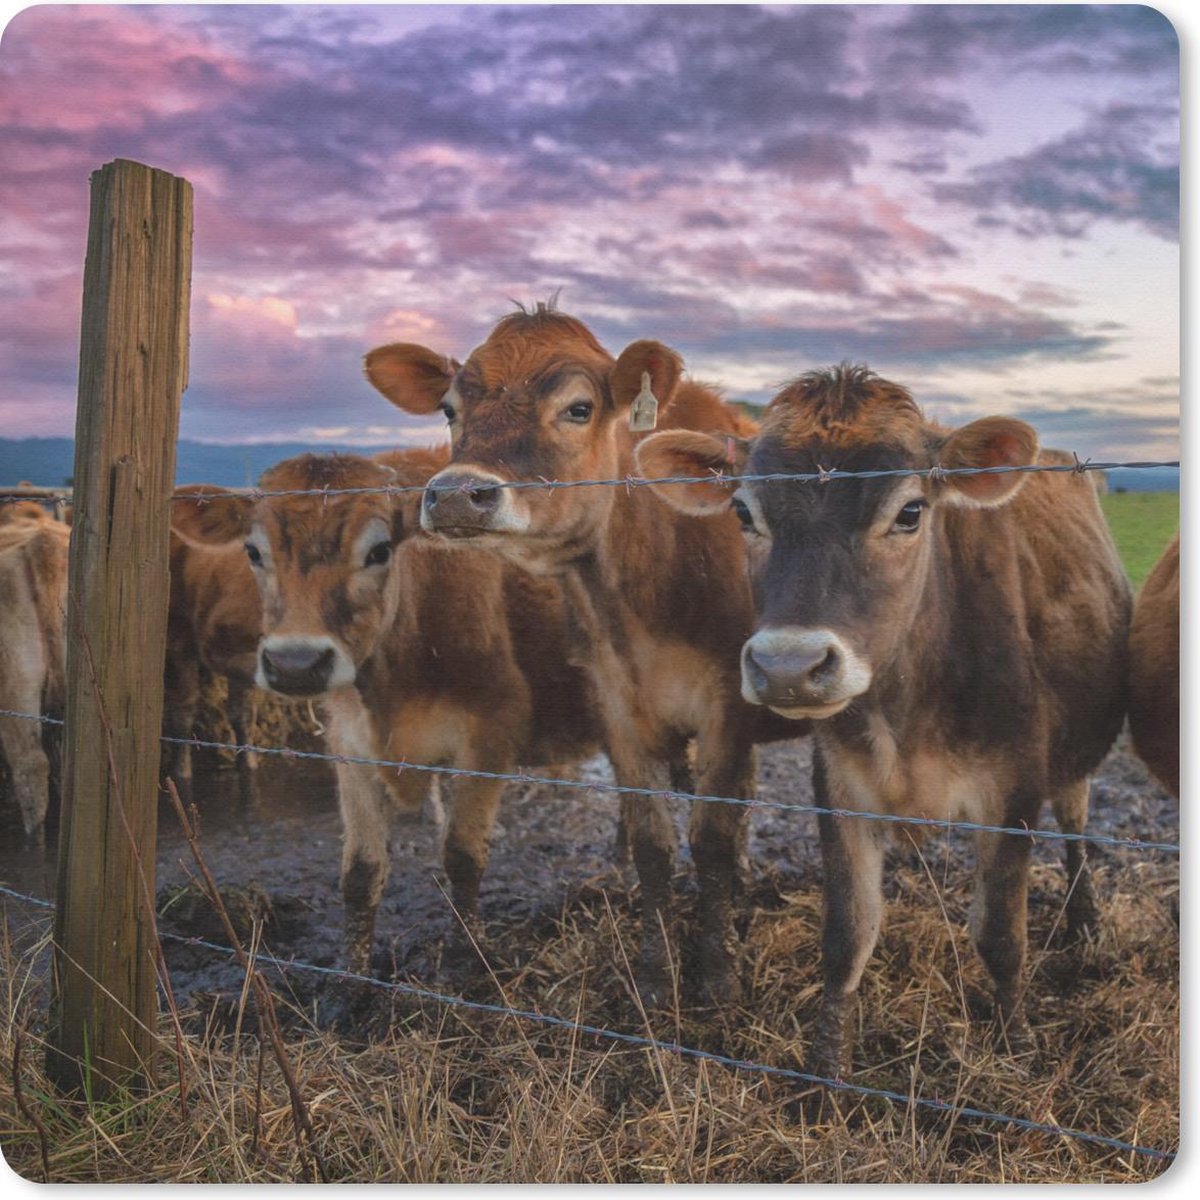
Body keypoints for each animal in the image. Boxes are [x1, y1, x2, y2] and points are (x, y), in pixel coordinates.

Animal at [178, 447, 600, 975]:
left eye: (379, 551)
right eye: (253, 552)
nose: (296, 663)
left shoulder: (490, 734)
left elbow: (463, 855)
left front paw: (470, 957)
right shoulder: (349, 743)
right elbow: (361, 872)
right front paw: (354, 977)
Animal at [363, 303, 800, 1005]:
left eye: (577, 408)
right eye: (450, 408)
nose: (456, 494)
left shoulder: (728, 706)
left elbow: (708, 840)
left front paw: (716, 977)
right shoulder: (615, 704)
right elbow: (653, 845)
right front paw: (654, 974)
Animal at [635, 363, 1131, 1074]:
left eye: (910, 511)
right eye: (743, 512)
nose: (788, 666)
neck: (908, 710)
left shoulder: (1013, 790)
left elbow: (1001, 936)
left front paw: (1015, 1047)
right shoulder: (841, 788)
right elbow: (848, 934)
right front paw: (825, 1072)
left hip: (1070, 762)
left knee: (1076, 824)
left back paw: (1085, 917)